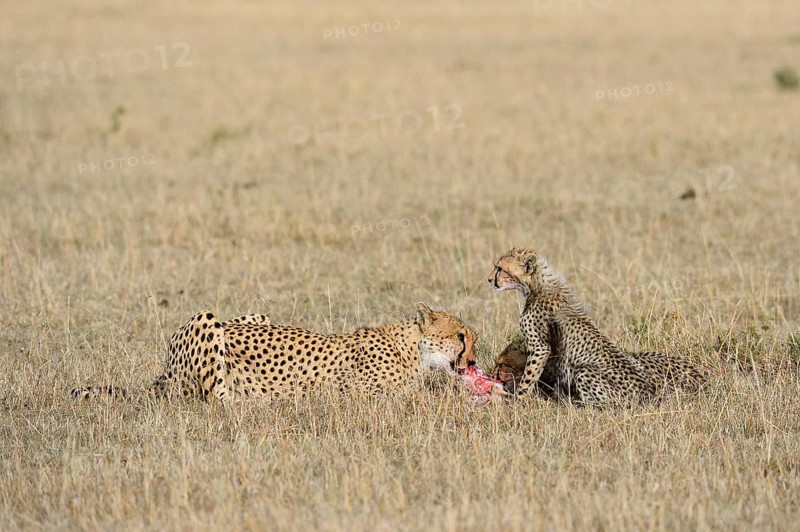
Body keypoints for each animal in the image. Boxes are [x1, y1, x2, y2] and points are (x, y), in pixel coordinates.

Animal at [488, 247, 705, 406]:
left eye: (500, 268)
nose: (490, 279)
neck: (537, 285)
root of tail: (648, 393)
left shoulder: (540, 347)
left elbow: (529, 375)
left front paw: (518, 400)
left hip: (585, 372)